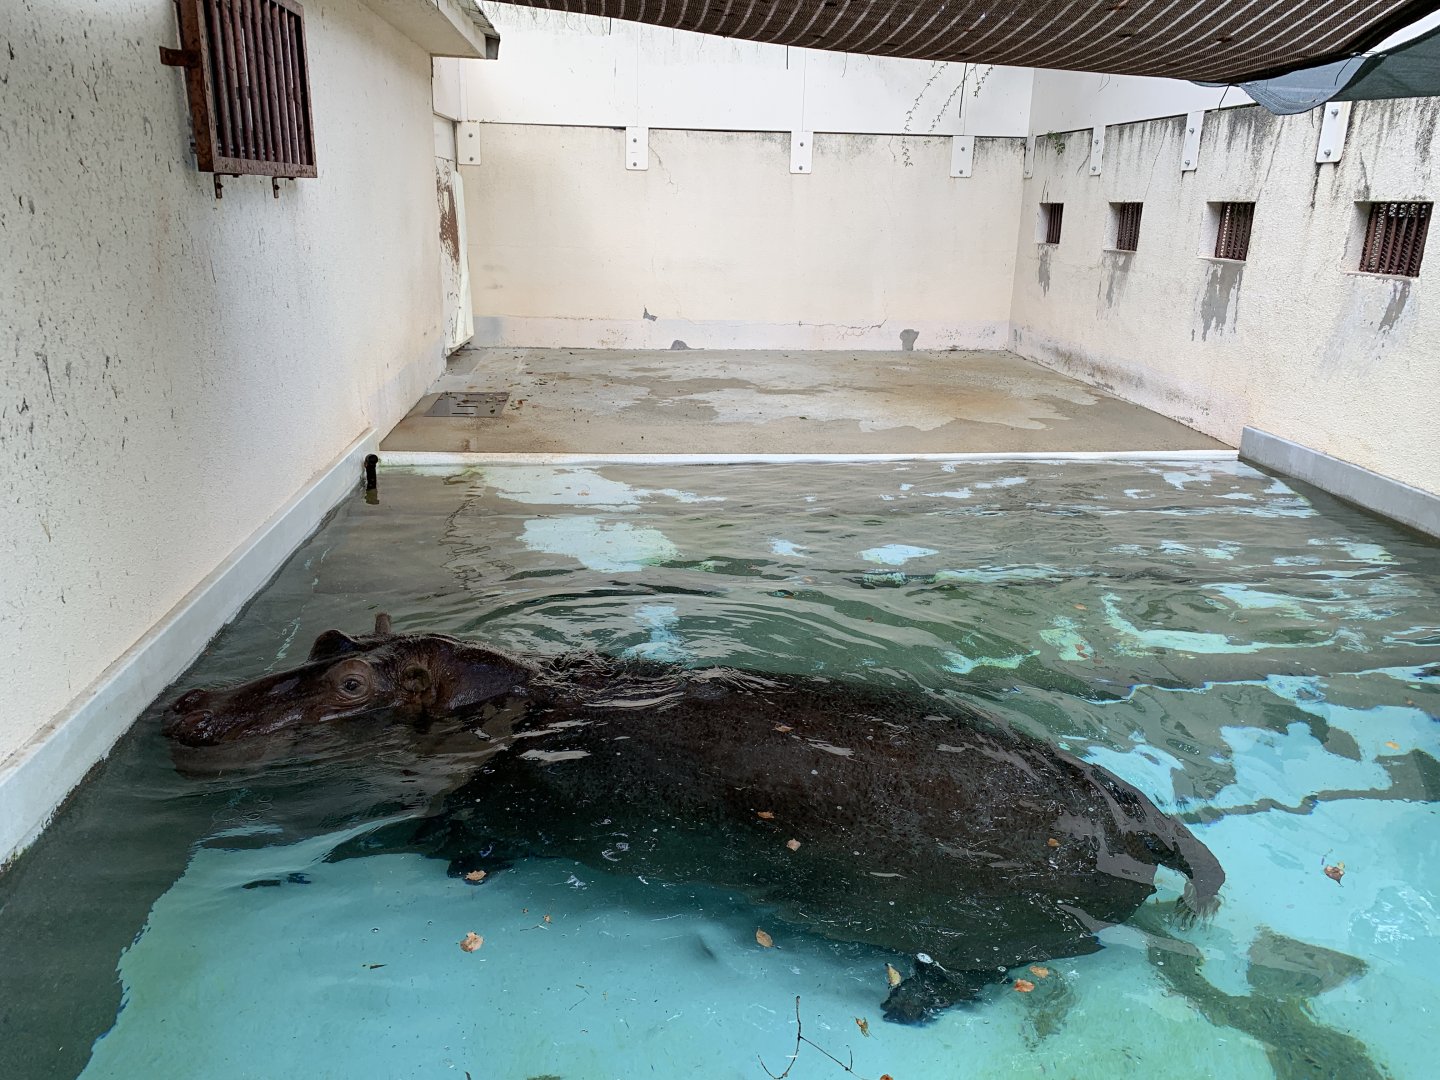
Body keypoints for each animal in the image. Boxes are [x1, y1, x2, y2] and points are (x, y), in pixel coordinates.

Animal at [167, 614, 1224, 1022]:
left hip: (985, 934)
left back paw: (909, 1002)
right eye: (327, 639)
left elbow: (406, 836)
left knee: (986, 971)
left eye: (352, 682)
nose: (189, 704)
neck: (509, 694)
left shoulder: (494, 804)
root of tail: (1138, 822)